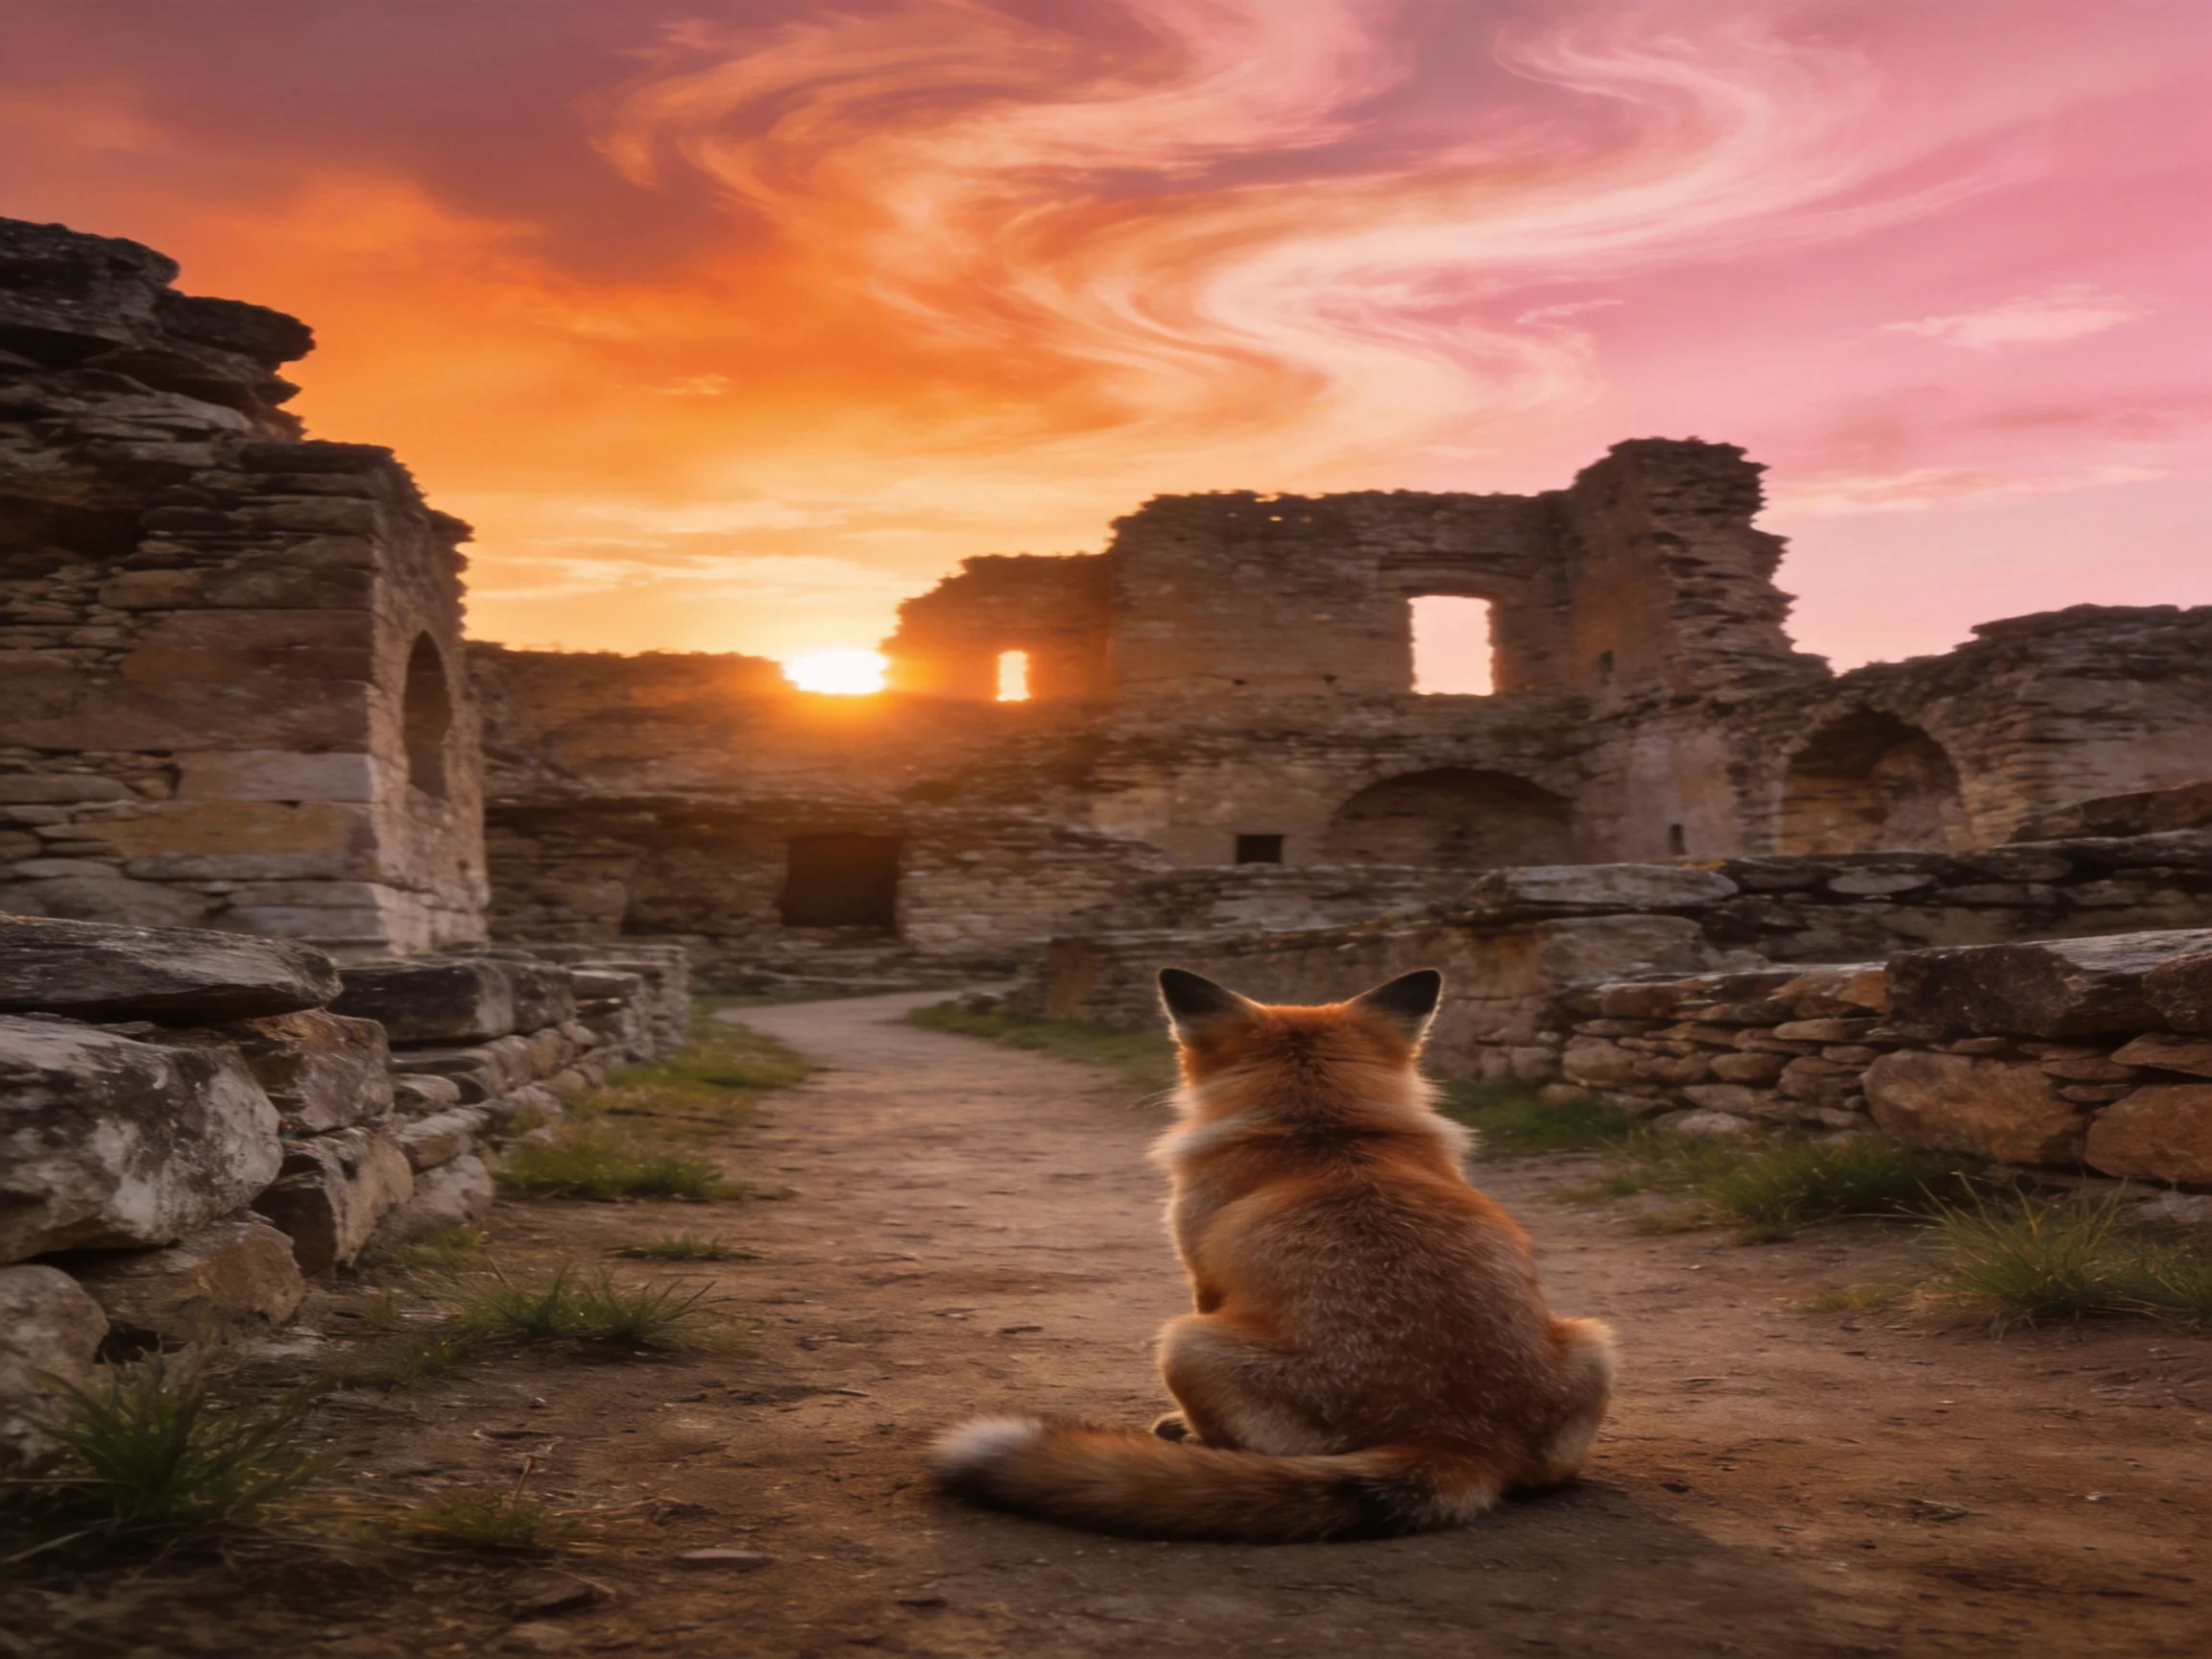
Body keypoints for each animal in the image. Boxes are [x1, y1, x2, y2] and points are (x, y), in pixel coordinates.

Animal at [931, 966, 1616, 1543]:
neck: (1321, 1127)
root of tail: (1461, 1437)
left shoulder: (1202, 1279)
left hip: (1185, 1342)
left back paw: (1191, 1439)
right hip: (1594, 1339)